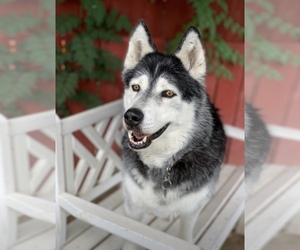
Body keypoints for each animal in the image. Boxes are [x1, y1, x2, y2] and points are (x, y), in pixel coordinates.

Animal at [120, 20, 226, 248]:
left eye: (168, 93)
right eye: (136, 87)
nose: (131, 116)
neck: (163, 164)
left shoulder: (190, 213)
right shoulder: (133, 209)